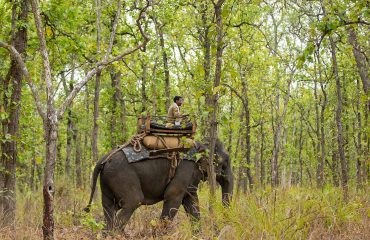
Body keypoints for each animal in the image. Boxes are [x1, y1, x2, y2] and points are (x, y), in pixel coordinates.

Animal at [85, 139, 233, 231]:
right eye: (225, 163)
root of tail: (104, 159)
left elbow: (191, 202)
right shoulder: (186, 168)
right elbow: (173, 196)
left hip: (107, 181)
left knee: (109, 208)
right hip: (122, 177)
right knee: (133, 201)